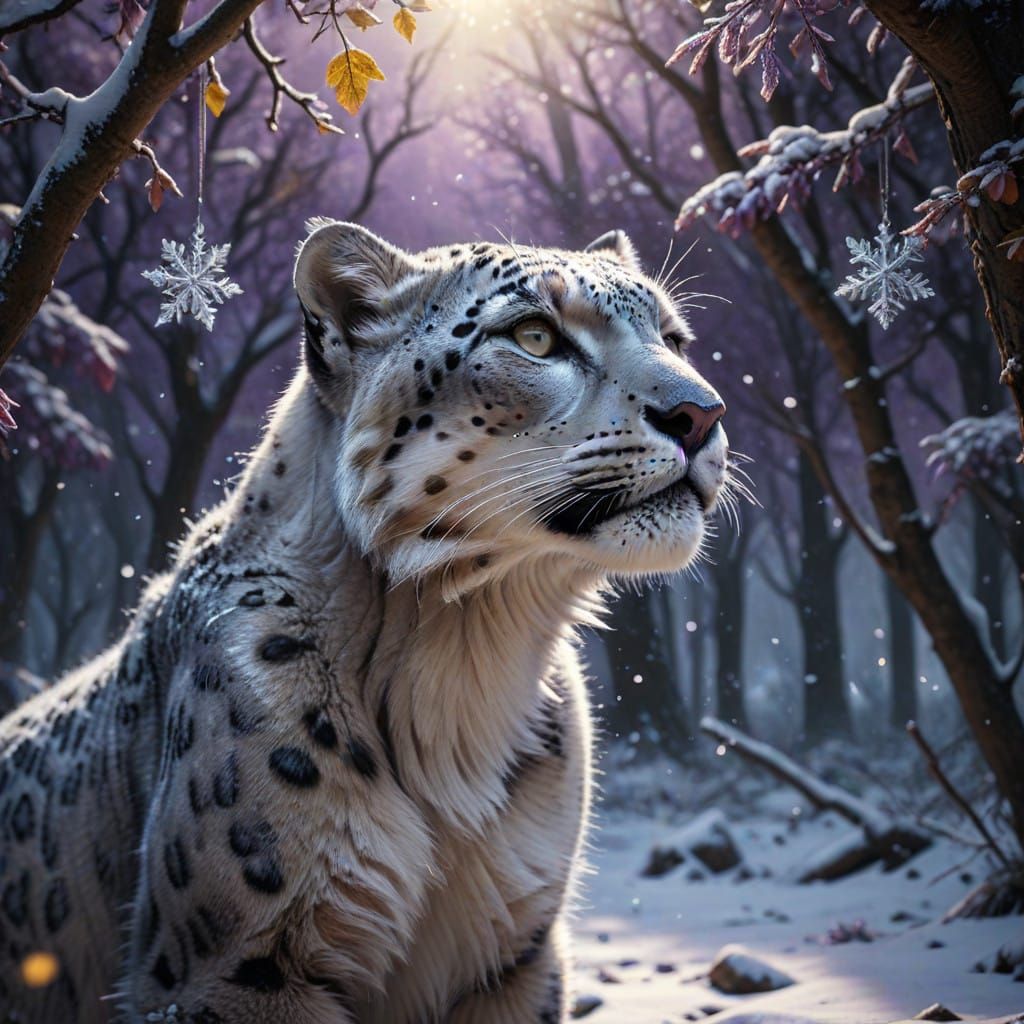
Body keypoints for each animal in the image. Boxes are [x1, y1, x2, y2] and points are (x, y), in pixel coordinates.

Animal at [0, 221, 730, 1023]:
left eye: (674, 337)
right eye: (535, 335)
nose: (702, 414)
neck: (468, 660)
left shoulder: (517, 954)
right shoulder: (242, 966)